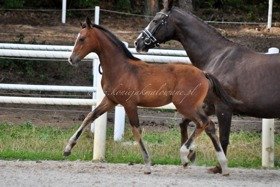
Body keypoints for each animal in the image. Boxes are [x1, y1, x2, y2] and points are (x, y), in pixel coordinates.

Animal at [64, 17, 240, 175]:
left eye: (82, 38)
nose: (71, 59)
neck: (121, 68)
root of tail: (204, 73)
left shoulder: (129, 104)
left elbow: (136, 131)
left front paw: (148, 165)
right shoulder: (110, 101)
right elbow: (90, 116)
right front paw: (67, 149)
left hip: (185, 106)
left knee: (204, 123)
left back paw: (186, 157)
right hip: (193, 106)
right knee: (208, 126)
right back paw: (223, 167)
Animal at [135, 0, 280, 173]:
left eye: (156, 20)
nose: (138, 42)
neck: (217, 57)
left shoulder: (223, 107)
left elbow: (223, 136)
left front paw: (218, 166)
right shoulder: (208, 105)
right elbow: (187, 122)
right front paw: (190, 155)